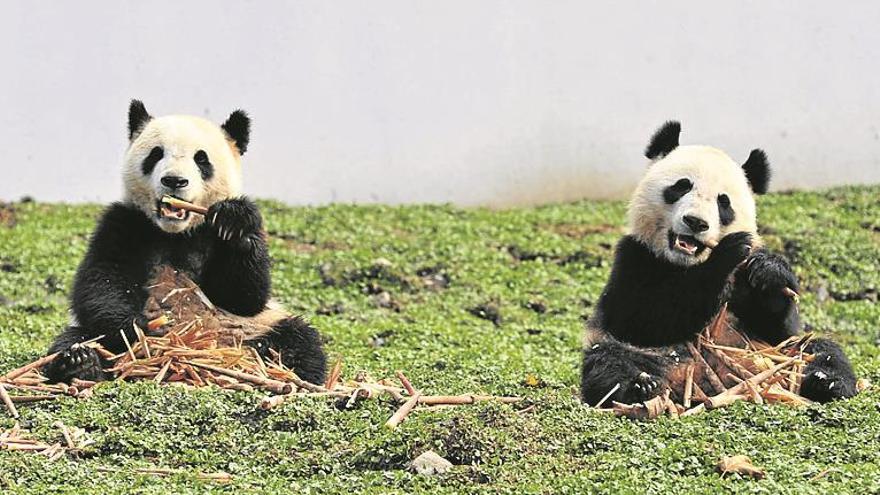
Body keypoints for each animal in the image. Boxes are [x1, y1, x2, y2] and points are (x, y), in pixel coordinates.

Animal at [43, 101, 326, 388]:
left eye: (201, 159)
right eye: (156, 154)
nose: (174, 181)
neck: (176, 234)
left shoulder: (215, 236)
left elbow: (245, 298)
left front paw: (233, 223)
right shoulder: (125, 223)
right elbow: (102, 282)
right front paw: (140, 330)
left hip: (257, 326)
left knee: (300, 341)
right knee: (77, 338)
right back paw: (81, 363)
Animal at [580, 121, 856, 406]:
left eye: (723, 202)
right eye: (681, 186)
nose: (696, 222)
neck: (686, 264)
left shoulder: (752, 295)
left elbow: (779, 326)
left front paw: (770, 270)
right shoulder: (635, 257)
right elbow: (643, 318)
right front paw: (727, 254)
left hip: (777, 352)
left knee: (820, 349)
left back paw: (827, 381)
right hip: (642, 353)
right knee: (609, 360)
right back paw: (639, 386)